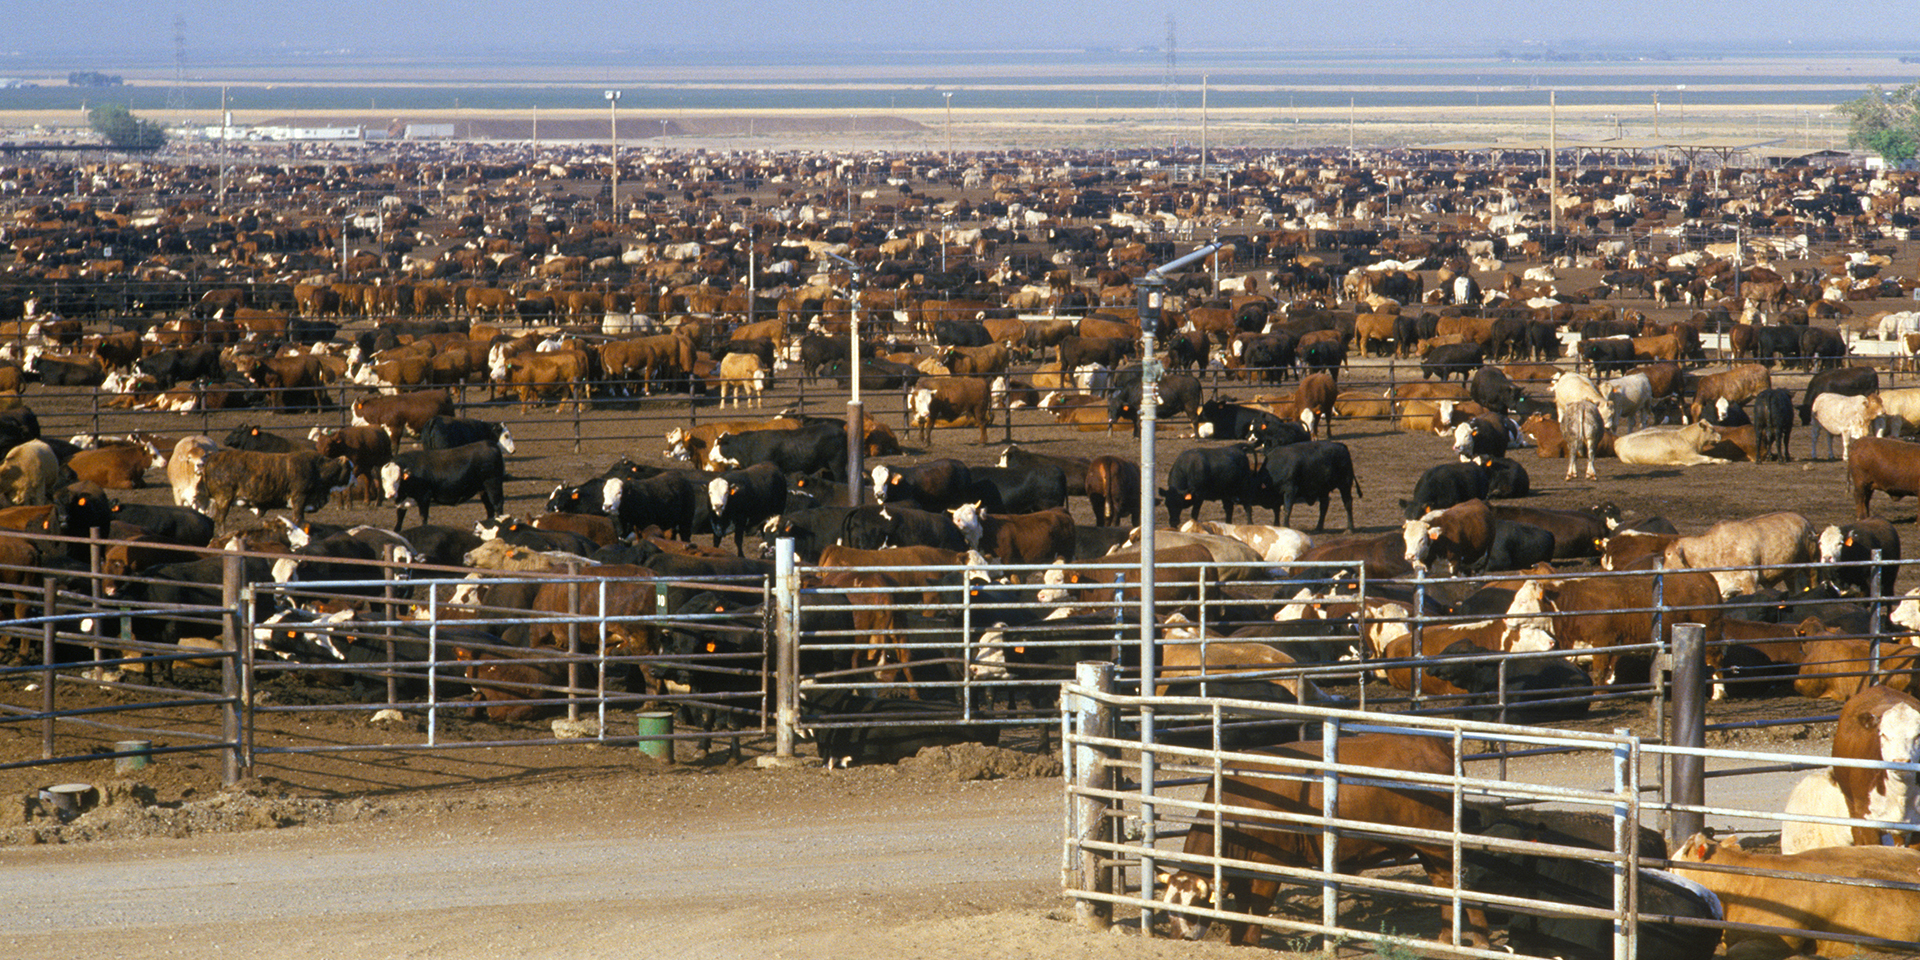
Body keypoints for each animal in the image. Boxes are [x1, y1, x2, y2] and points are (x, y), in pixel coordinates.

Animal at [1144, 737, 1489, 948]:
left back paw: (1481, 941)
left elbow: (1258, 907)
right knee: (1444, 885)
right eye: (1167, 908)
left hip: (1441, 844)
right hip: (1429, 848)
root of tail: (1439, 746)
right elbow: (1241, 907)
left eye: (1194, 907)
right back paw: (1446, 938)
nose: (1177, 938)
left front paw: (1251, 942)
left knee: (1461, 883)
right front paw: (1235, 941)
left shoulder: (1271, 865)